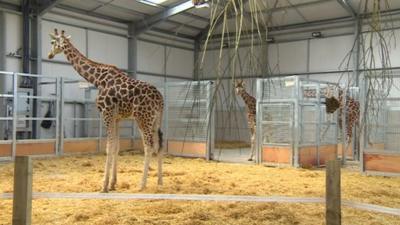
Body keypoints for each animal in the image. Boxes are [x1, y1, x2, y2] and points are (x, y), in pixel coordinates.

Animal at [48, 29, 164, 192]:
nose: (49, 55)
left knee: (149, 146)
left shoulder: (106, 112)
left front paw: (104, 185)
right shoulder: (117, 117)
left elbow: (109, 147)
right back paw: (160, 181)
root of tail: (160, 99)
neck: (97, 79)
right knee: (159, 145)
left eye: (52, 42)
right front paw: (113, 182)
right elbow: (116, 146)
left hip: (143, 119)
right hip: (156, 120)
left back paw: (142, 185)